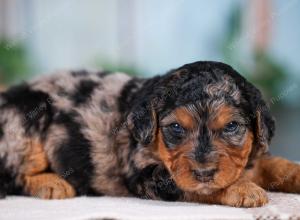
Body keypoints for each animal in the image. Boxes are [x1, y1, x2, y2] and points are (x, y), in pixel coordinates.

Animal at [0, 61, 300, 207]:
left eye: (231, 127)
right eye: (176, 128)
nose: (204, 172)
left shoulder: (251, 157)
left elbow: (276, 164)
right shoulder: (149, 177)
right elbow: (202, 188)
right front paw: (243, 189)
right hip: (26, 119)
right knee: (13, 176)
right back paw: (52, 183)